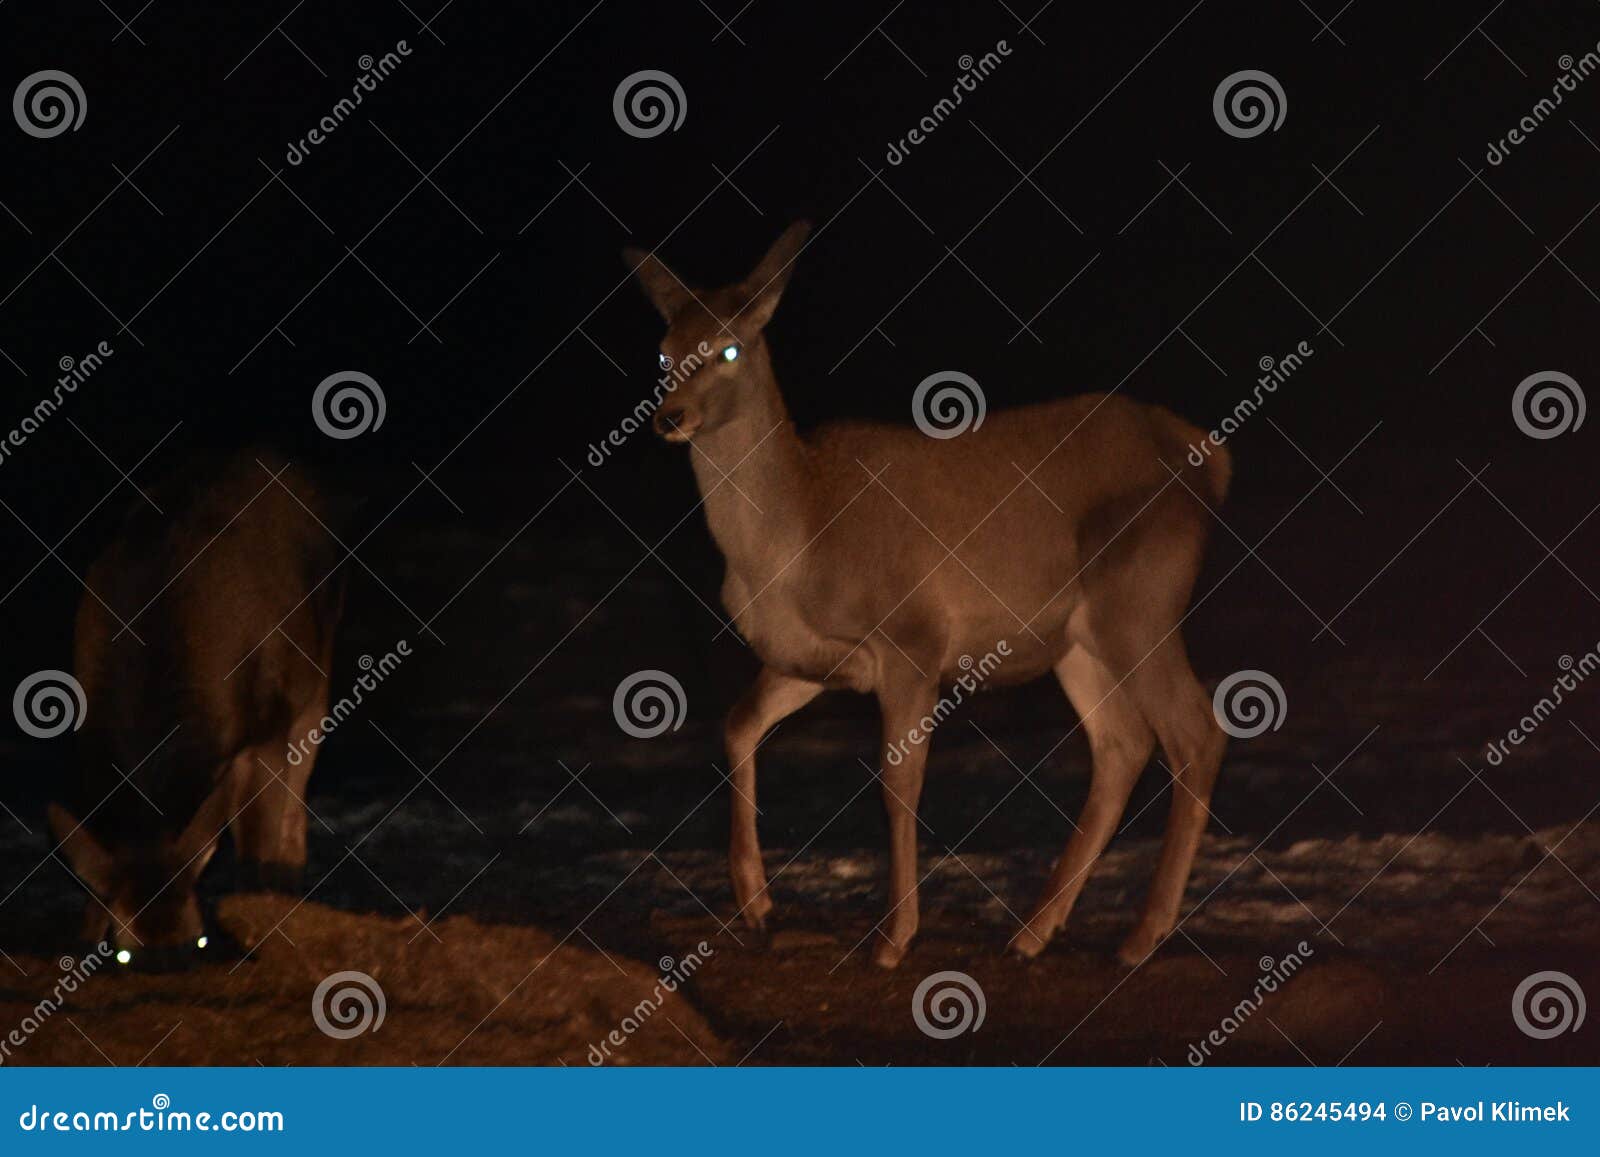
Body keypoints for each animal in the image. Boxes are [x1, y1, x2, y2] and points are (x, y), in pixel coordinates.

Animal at [48, 450, 346, 969]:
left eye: (200, 940)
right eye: (122, 952)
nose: (171, 968)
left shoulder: (265, 725)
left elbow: (258, 844)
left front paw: (260, 925)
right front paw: (83, 934)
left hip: (319, 659)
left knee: (297, 783)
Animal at [625, 221, 1232, 969]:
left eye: (729, 347)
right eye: (664, 348)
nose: (670, 417)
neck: (798, 533)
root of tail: (1204, 458)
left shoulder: (912, 635)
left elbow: (899, 782)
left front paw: (894, 938)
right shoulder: (813, 658)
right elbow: (738, 724)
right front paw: (757, 904)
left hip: (1142, 602)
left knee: (1195, 732)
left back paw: (1140, 935)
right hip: (1078, 639)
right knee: (1122, 743)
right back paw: (1034, 931)